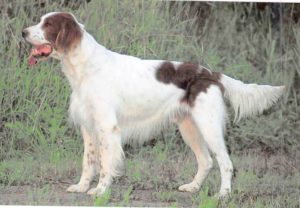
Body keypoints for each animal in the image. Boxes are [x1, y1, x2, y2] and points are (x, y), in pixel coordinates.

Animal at [22, 12, 284, 197]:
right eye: (40, 21)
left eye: (48, 24)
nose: (23, 32)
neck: (85, 68)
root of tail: (210, 74)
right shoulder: (89, 127)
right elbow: (89, 162)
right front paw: (81, 187)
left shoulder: (107, 127)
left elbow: (106, 164)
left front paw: (100, 190)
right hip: (189, 127)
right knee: (206, 161)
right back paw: (192, 188)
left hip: (209, 126)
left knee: (226, 163)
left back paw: (223, 195)